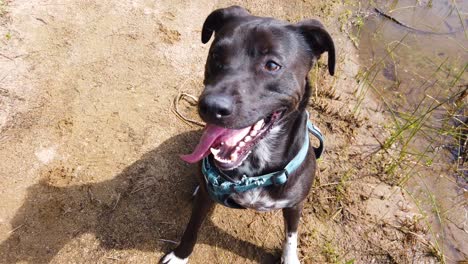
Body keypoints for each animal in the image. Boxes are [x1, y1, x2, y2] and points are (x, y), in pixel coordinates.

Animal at [161, 6, 332, 264]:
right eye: (216, 55)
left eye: (272, 65)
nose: (211, 107)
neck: (254, 171)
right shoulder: (204, 200)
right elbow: (192, 228)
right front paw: (180, 256)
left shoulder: (295, 205)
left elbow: (291, 236)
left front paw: (290, 257)